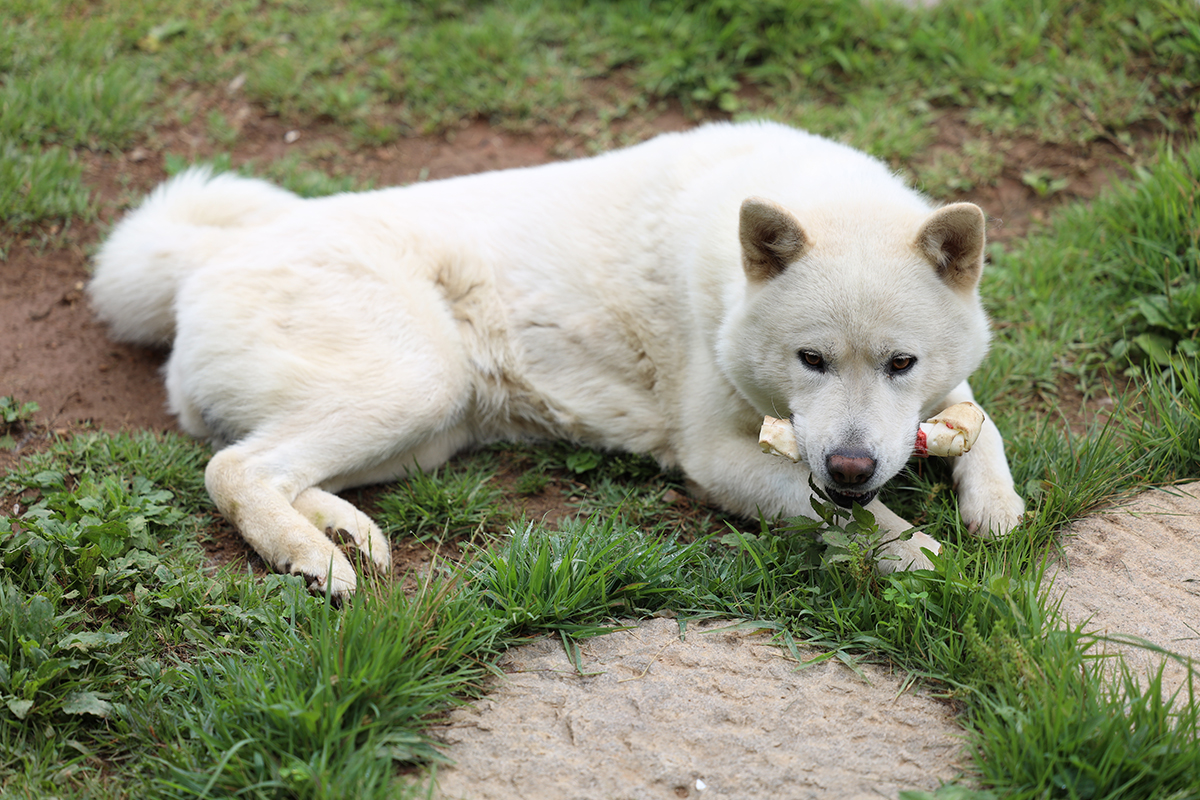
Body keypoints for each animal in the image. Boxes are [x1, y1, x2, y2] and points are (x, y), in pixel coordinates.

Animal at [91, 120, 1022, 594]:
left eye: (901, 364)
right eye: (811, 360)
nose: (853, 463)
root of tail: (206, 257)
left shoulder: (936, 396)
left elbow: (983, 424)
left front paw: (995, 506)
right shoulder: (716, 460)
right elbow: (861, 522)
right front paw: (924, 553)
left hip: (428, 429)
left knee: (271, 463)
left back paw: (343, 531)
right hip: (418, 383)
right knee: (234, 468)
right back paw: (313, 557)